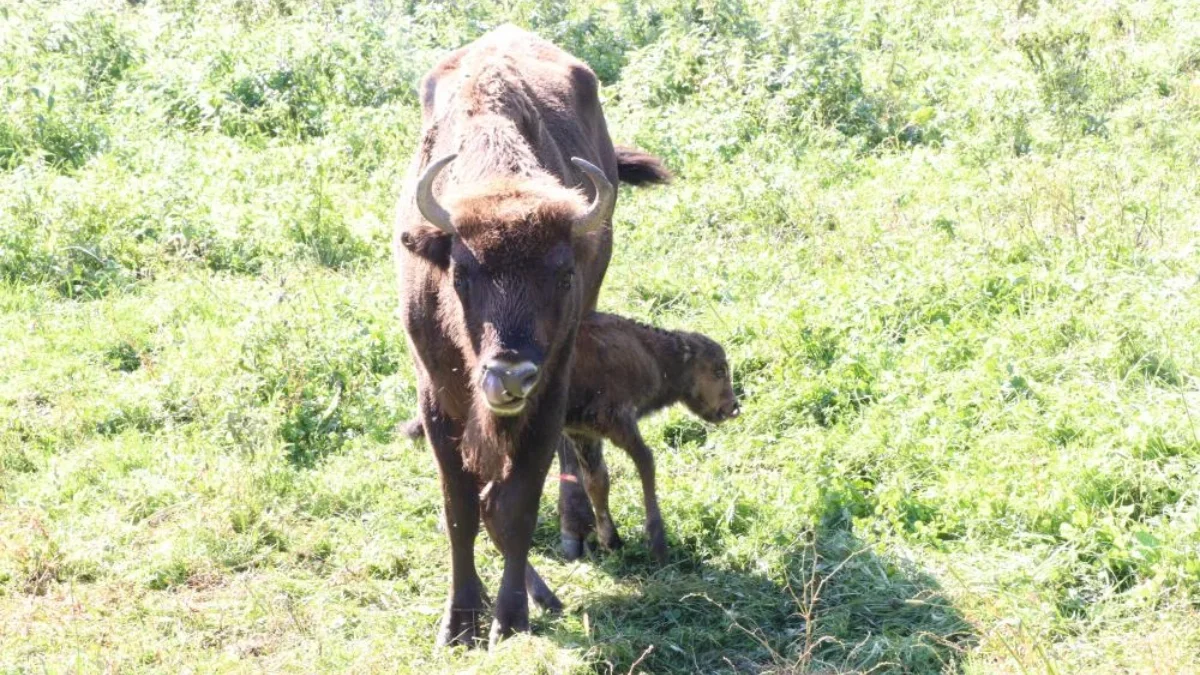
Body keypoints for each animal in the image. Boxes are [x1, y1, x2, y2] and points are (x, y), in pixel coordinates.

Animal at [398, 27, 672, 648]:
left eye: (563, 273)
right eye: (460, 274)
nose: (509, 375)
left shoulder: (547, 392)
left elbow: (513, 508)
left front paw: (512, 618)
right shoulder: (438, 397)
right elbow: (462, 509)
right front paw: (459, 625)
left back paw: (577, 531)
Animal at [408, 309, 734, 562]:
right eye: (718, 370)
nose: (732, 407)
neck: (648, 352)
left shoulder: (583, 434)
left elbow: (597, 481)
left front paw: (611, 541)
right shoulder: (618, 422)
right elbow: (646, 462)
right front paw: (657, 542)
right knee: (491, 502)